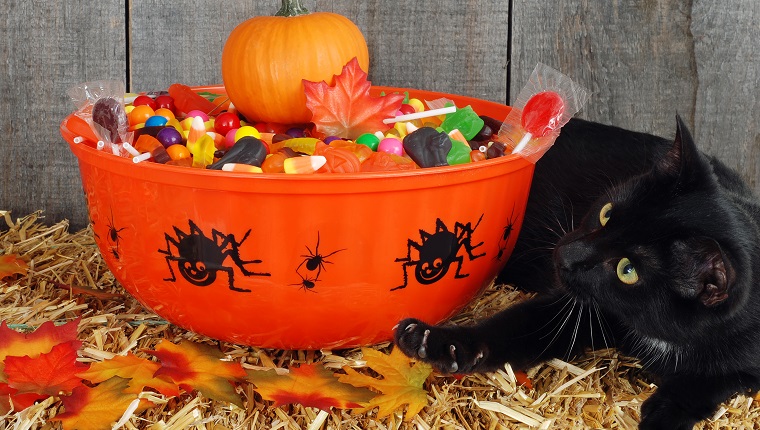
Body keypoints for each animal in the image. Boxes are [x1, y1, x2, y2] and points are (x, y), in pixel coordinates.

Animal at [394, 116, 756, 428]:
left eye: (628, 270)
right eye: (607, 213)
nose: (565, 254)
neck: (664, 336)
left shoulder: (747, 362)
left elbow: (714, 382)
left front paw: (662, 415)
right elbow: (510, 328)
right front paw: (439, 343)